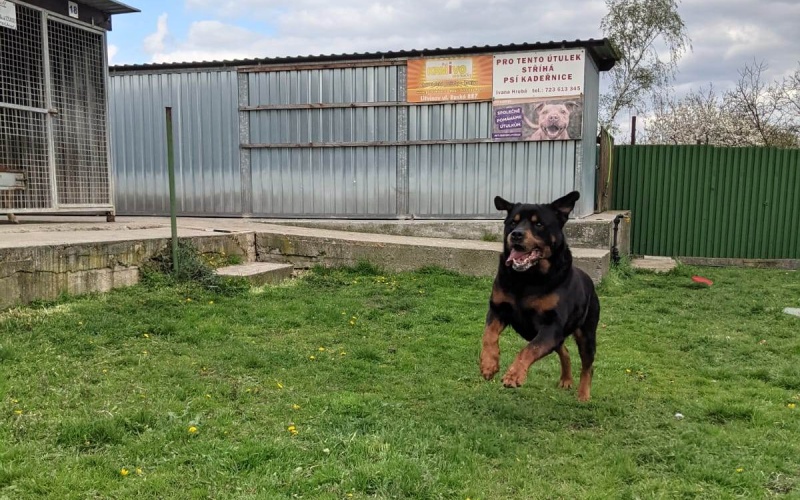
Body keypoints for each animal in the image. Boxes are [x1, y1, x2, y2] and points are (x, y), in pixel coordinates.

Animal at [476, 191, 600, 402]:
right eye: (513, 222)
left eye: (539, 224)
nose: (516, 234)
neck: (528, 279)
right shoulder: (498, 309)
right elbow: (488, 335)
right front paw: (488, 364)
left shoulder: (552, 326)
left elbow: (529, 349)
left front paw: (514, 374)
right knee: (565, 351)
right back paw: (566, 380)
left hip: (586, 333)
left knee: (587, 365)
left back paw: (583, 395)